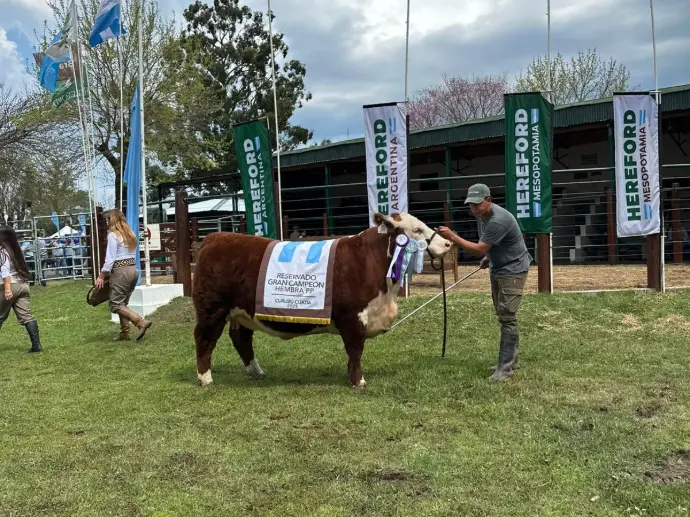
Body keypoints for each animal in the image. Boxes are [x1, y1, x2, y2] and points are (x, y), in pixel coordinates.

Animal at [191, 212, 452, 388]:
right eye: (416, 230)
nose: (448, 243)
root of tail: (215, 237)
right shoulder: (353, 316)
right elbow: (355, 349)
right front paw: (358, 381)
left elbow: (352, 353)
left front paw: (350, 376)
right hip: (212, 308)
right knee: (204, 338)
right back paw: (206, 378)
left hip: (242, 311)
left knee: (241, 338)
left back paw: (256, 372)